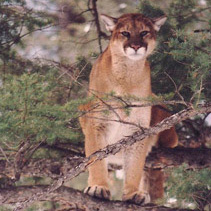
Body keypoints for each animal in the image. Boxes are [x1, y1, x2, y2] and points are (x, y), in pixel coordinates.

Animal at [79, 12, 178, 204]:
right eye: (125, 33)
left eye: (144, 32)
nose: (136, 46)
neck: (127, 75)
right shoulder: (97, 124)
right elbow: (96, 159)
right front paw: (98, 187)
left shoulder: (138, 130)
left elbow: (135, 166)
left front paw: (132, 193)